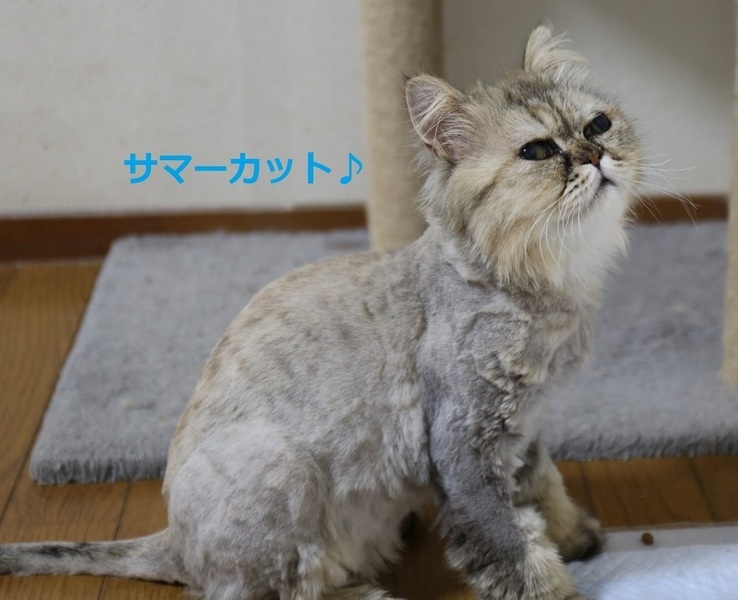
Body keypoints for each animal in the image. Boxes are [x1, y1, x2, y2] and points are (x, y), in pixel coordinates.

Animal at [0, 25, 640, 600]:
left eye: (597, 125)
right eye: (538, 151)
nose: (595, 155)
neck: (545, 289)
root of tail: (173, 542)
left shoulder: (525, 428)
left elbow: (545, 490)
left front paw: (575, 537)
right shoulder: (466, 445)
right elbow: (512, 544)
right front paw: (558, 586)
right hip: (283, 468)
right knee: (272, 590)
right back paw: (363, 594)